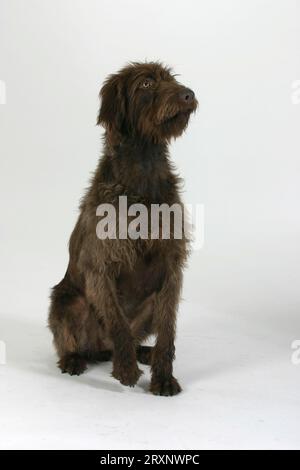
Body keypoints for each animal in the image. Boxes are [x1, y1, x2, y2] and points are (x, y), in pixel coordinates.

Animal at [49, 60, 197, 394]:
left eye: (171, 79)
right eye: (146, 84)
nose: (188, 94)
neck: (144, 166)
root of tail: (100, 349)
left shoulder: (171, 266)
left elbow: (168, 330)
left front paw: (163, 376)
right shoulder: (100, 266)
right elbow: (118, 324)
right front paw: (127, 369)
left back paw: (145, 351)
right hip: (68, 302)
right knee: (73, 340)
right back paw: (75, 359)